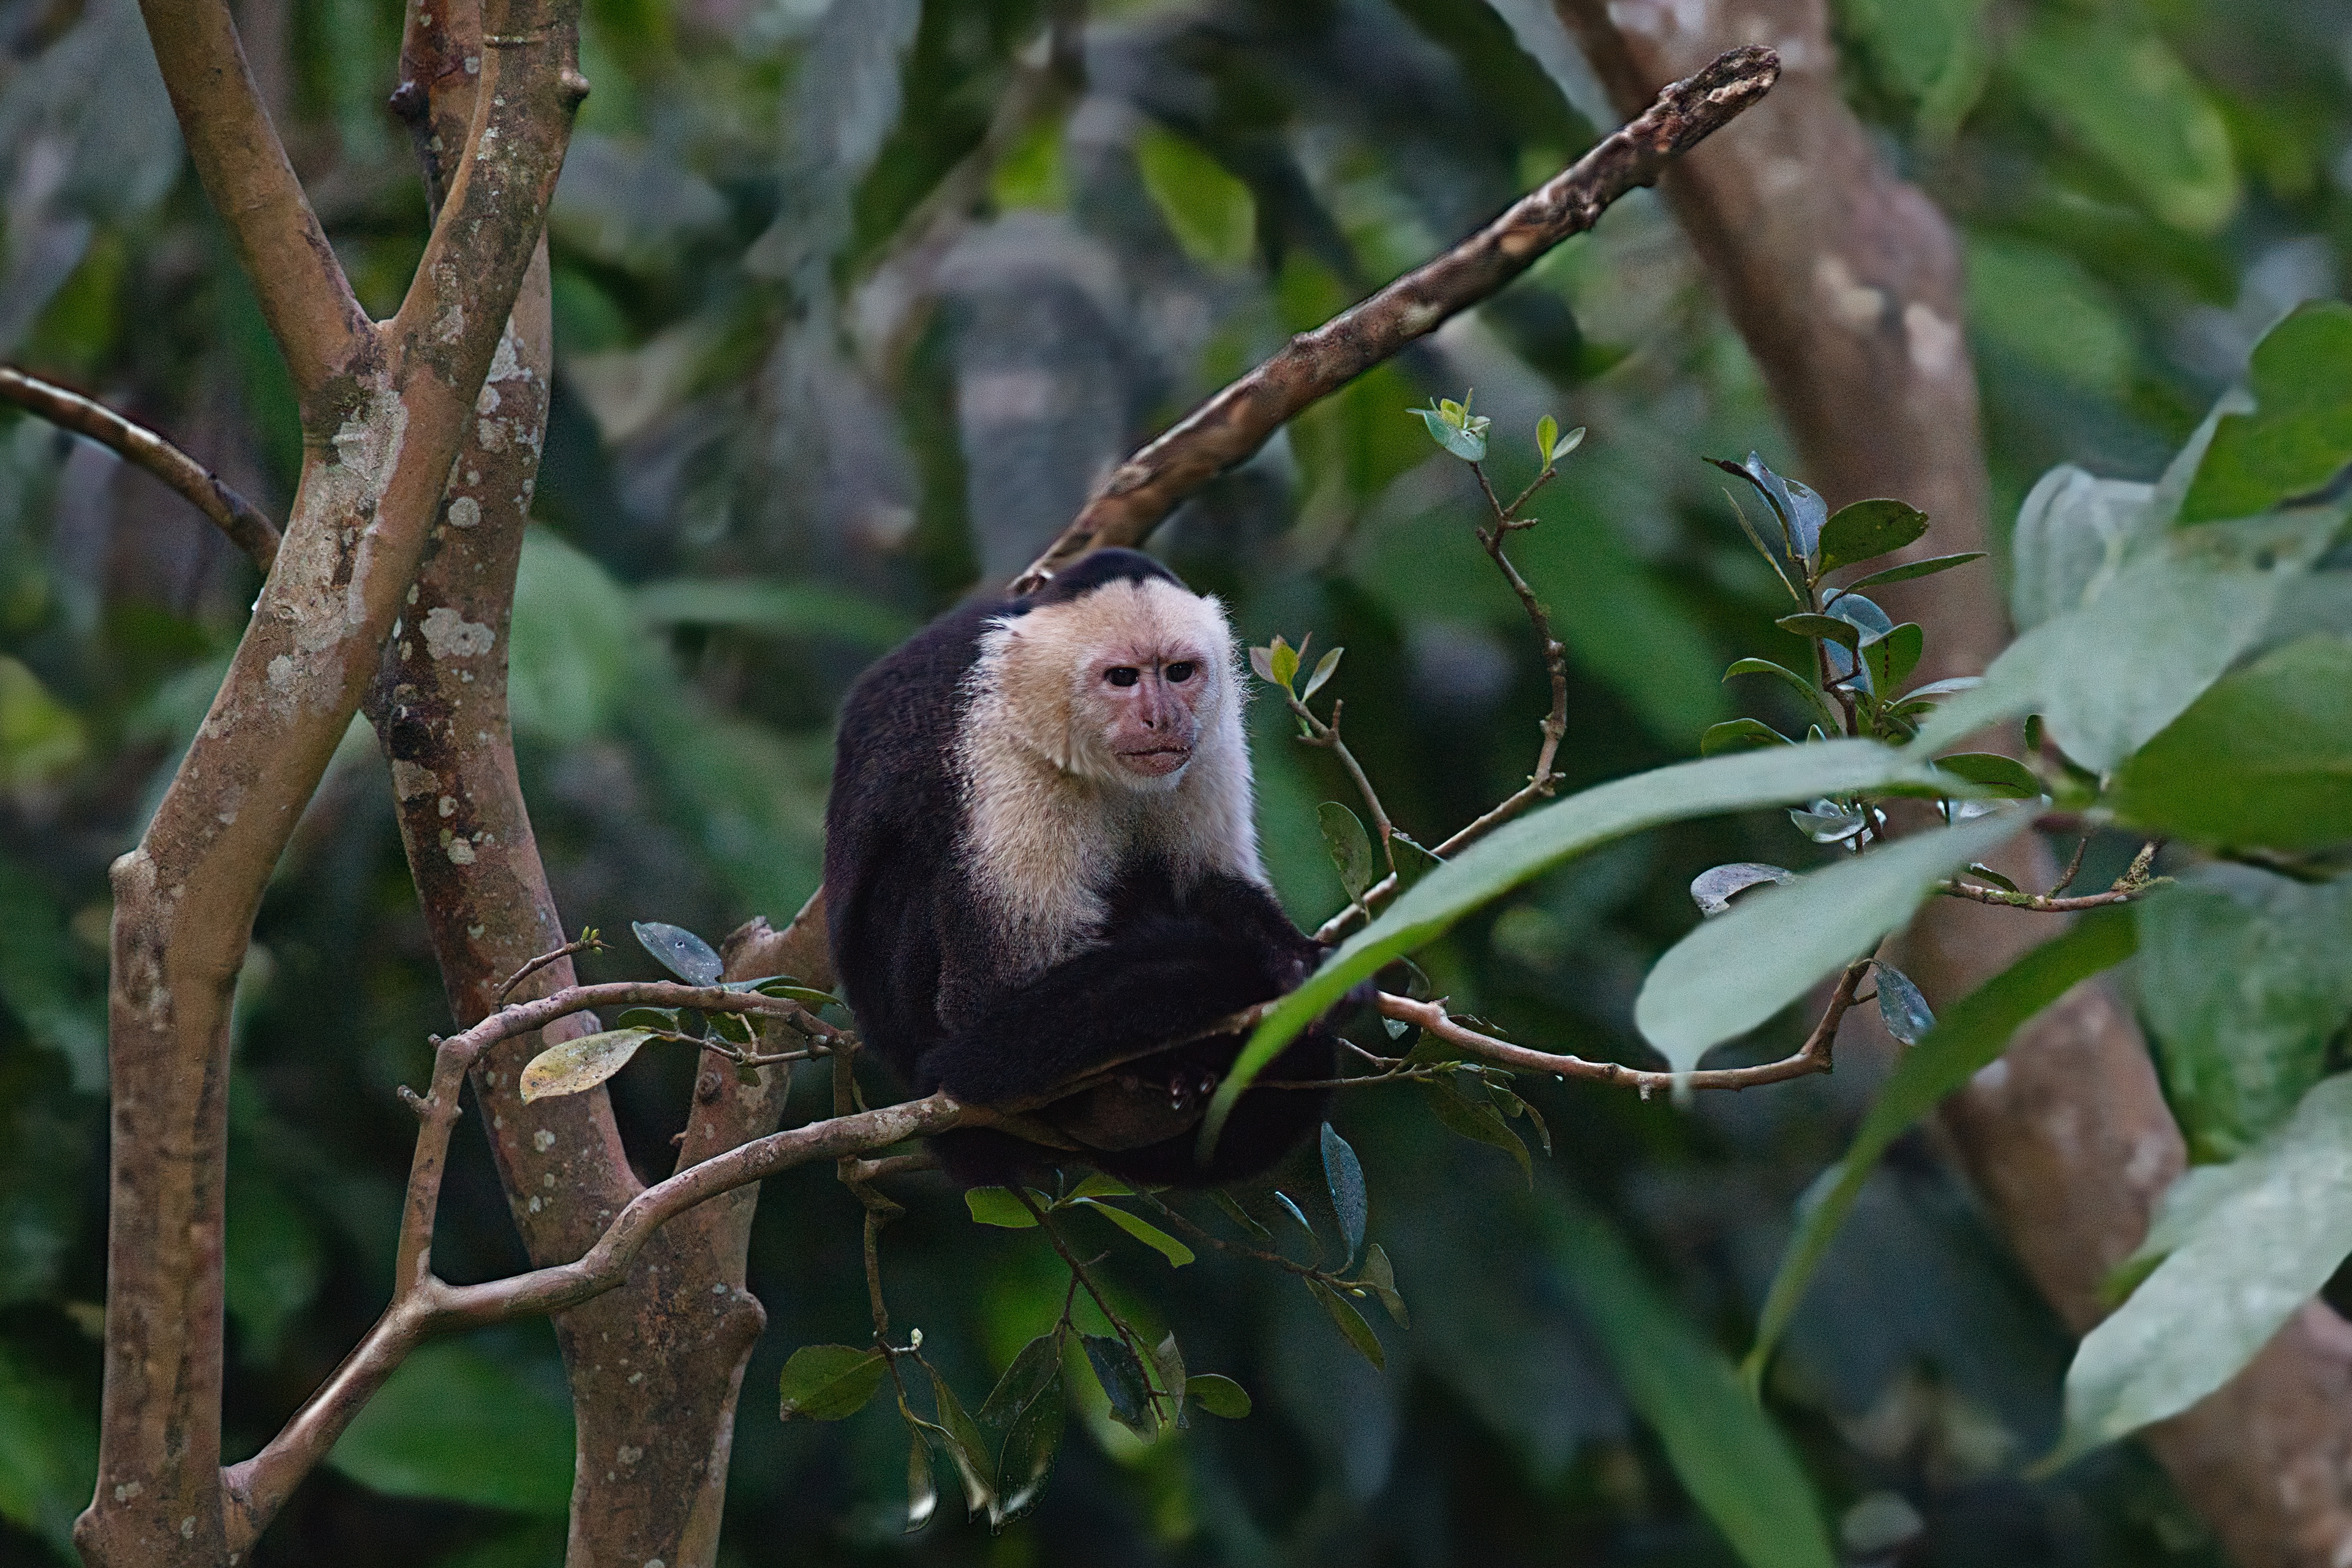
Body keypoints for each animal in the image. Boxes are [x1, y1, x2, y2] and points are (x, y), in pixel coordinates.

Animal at [822, 547, 1338, 1186]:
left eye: (1179, 673)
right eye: (1122, 678)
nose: (1163, 719)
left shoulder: (1211, 736)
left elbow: (1209, 880)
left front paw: (1291, 957)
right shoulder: (1004, 752)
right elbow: (985, 1007)